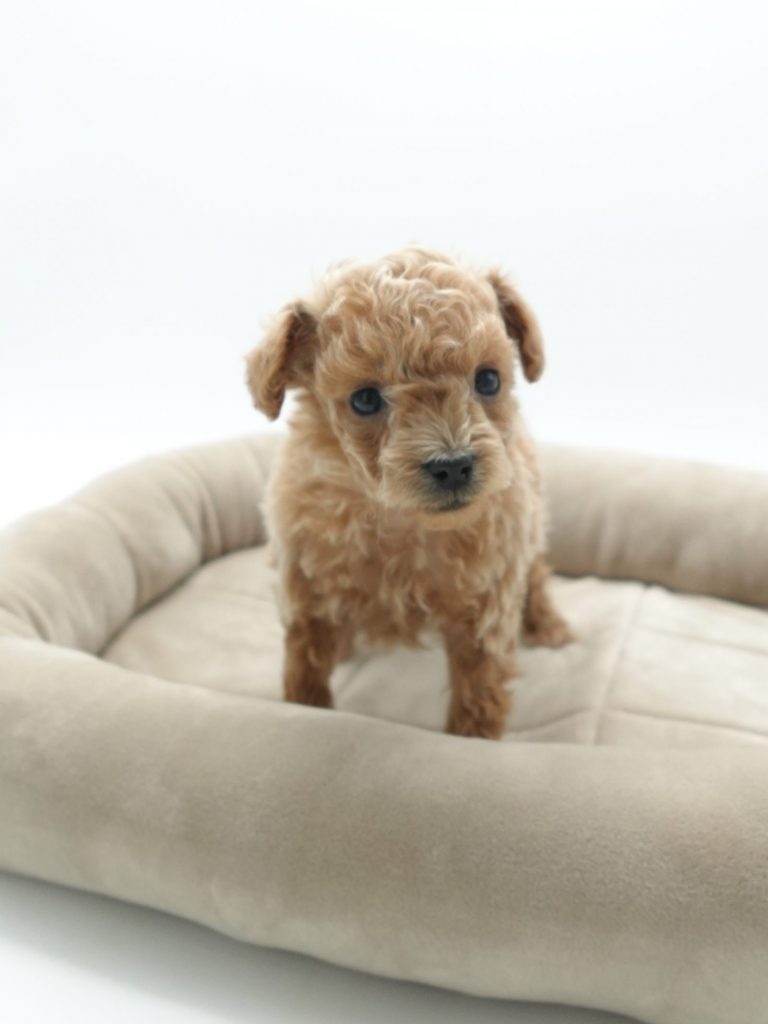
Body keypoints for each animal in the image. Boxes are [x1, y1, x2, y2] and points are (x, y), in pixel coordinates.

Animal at [246, 247, 572, 739]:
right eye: (364, 399)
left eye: (488, 380)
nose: (453, 465)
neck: (398, 520)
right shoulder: (305, 589)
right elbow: (305, 663)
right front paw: (306, 708)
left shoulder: (487, 599)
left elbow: (479, 685)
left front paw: (472, 739)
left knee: (535, 572)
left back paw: (549, 625)